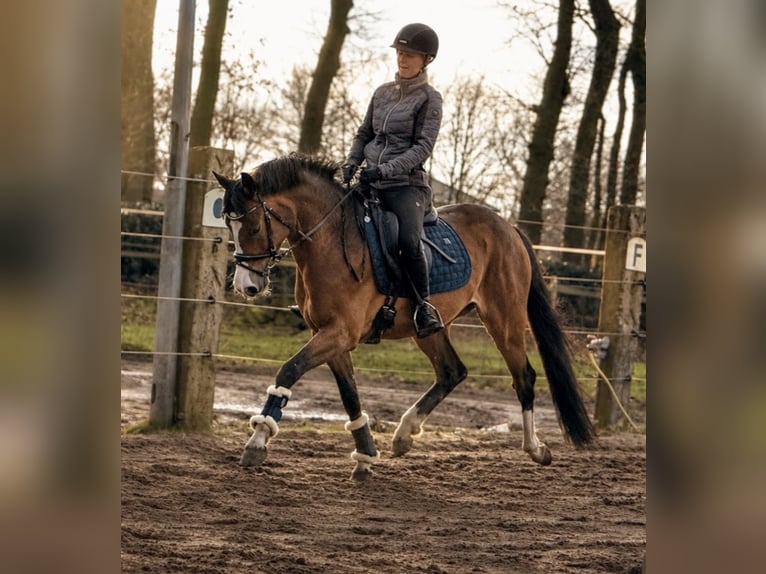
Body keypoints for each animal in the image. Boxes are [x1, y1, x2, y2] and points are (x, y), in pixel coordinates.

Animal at [213, 154, 595, 481]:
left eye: (252, 225)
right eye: (229, 226)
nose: (246, 286)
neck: (331, 241)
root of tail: (508, 227)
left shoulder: (340, 333)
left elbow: (289, 370)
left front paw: (258, 440)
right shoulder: (329, 335)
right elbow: (349, 394)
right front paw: (366, 457)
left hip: (505, 320)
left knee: (524, 377)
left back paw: (535, 449)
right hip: (429, 328)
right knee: (452, 371)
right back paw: (404, 435)